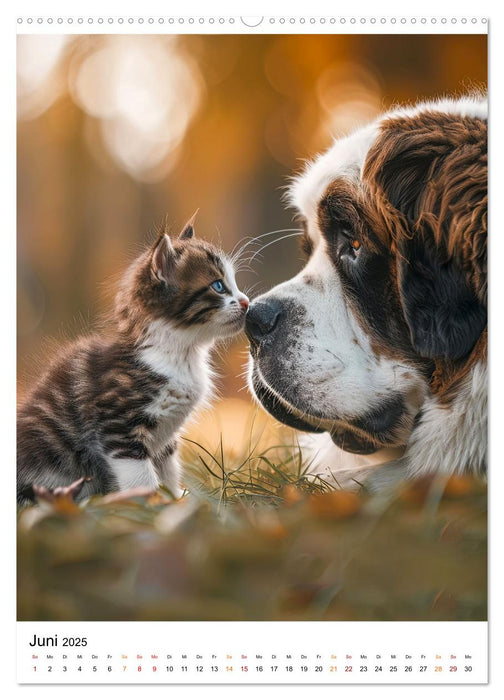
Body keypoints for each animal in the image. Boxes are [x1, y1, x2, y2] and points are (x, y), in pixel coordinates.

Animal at [16, 217, 249, 504]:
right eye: (218, 286)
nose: (247, 302)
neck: (180, 354)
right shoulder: (118, 424)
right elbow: (142, 478)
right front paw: (147, 505)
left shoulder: (166, 439)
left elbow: (169, 470)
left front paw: (174, 498)